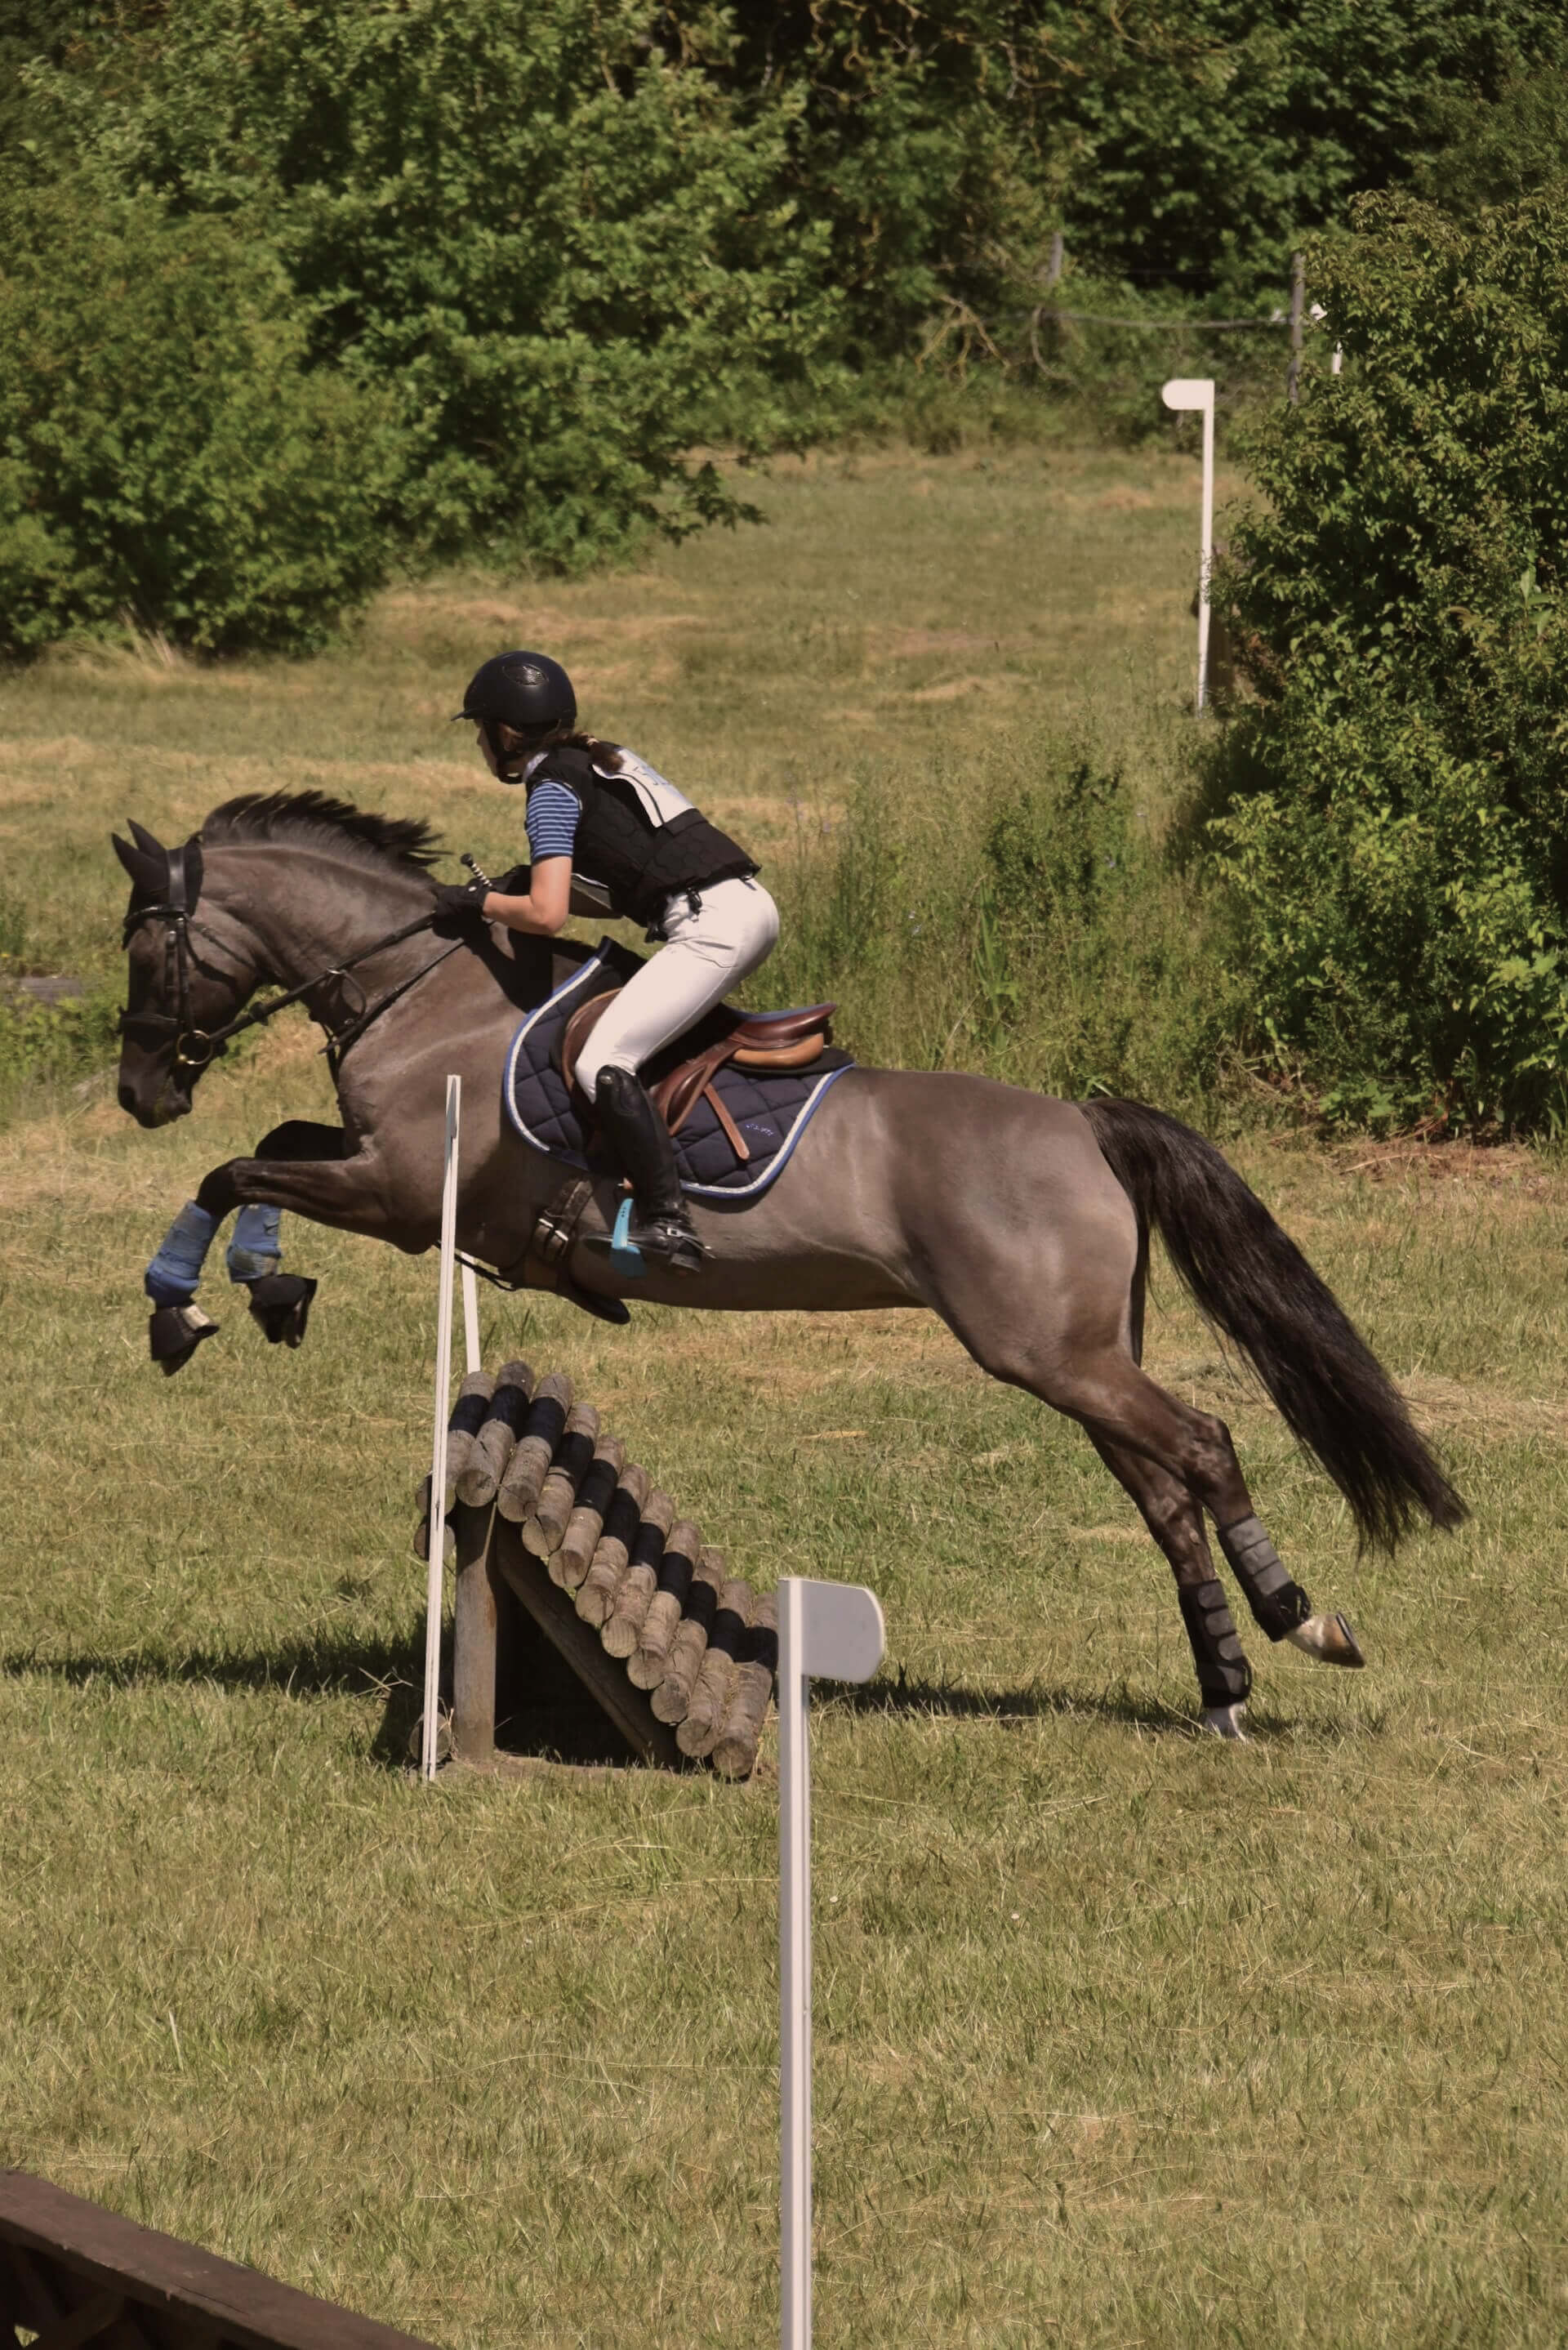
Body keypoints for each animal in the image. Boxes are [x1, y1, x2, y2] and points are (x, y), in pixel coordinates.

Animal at [112, 790, 1465, 1736]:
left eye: (143, 952)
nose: (137, 1095)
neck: (421, 985)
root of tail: (1084, 1122)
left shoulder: (402, 1193)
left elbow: (235, 1170)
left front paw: (194, 1309)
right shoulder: (384, 1178)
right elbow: (264, 1154)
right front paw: (267, 1288)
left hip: (1047, 1351)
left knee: (1204, 1447)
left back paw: (1303, 1624)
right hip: (1078, 1354)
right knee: (1164, 1490)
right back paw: (1224, 1685)